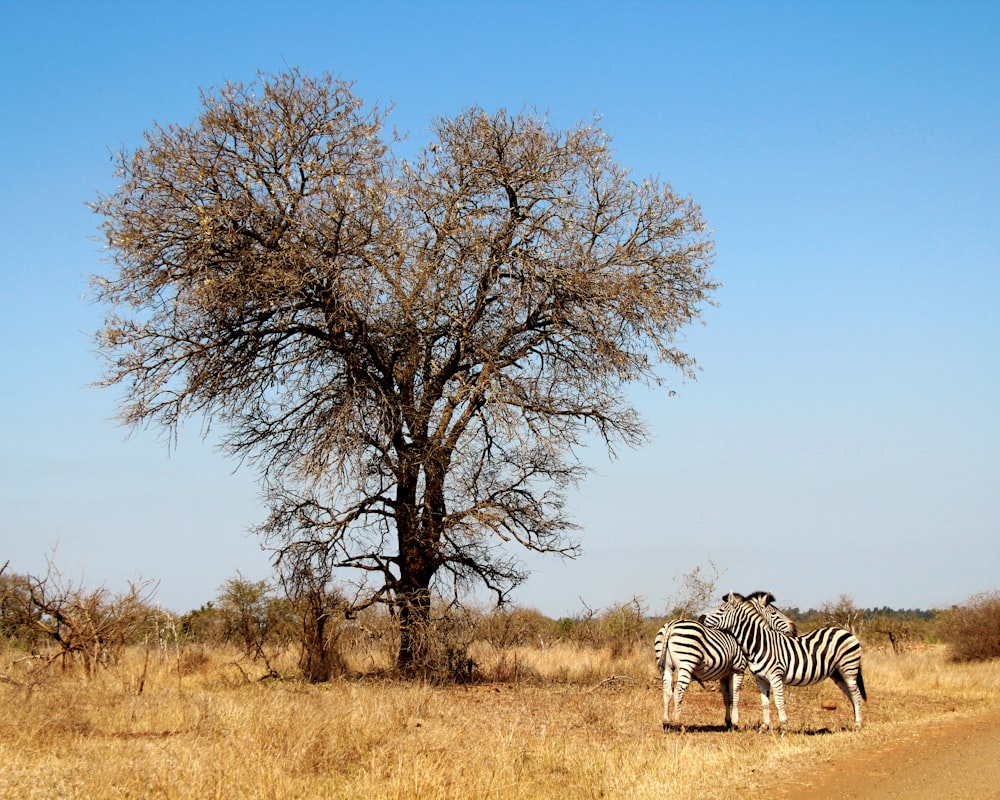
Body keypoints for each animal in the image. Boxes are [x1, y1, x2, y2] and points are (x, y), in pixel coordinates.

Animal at [656, 588, 796, 732]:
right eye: (774, 613)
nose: (794, 628)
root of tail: (671, 625)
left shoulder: (724, 674)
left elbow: (726, 698)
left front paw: (728, 722)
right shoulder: (738, 669)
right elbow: (735, 696)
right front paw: (735, 723)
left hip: (666, 667)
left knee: (667, 691)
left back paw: (666, 722)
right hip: (686, 665)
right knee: (678, 691)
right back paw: (678, 723)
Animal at [696, 592, 868, 736]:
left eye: (720, 610)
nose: (700, 619)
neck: (760, 644)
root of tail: (846, 632)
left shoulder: (775, 676)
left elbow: (779, 702)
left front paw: (784, 728)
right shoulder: (761, 679)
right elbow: (764, 703)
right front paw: (764, 727)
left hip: (849, 669)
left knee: (856, 695)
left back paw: (858, 725)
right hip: (838, 673)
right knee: (852, 695)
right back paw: (855, 722)